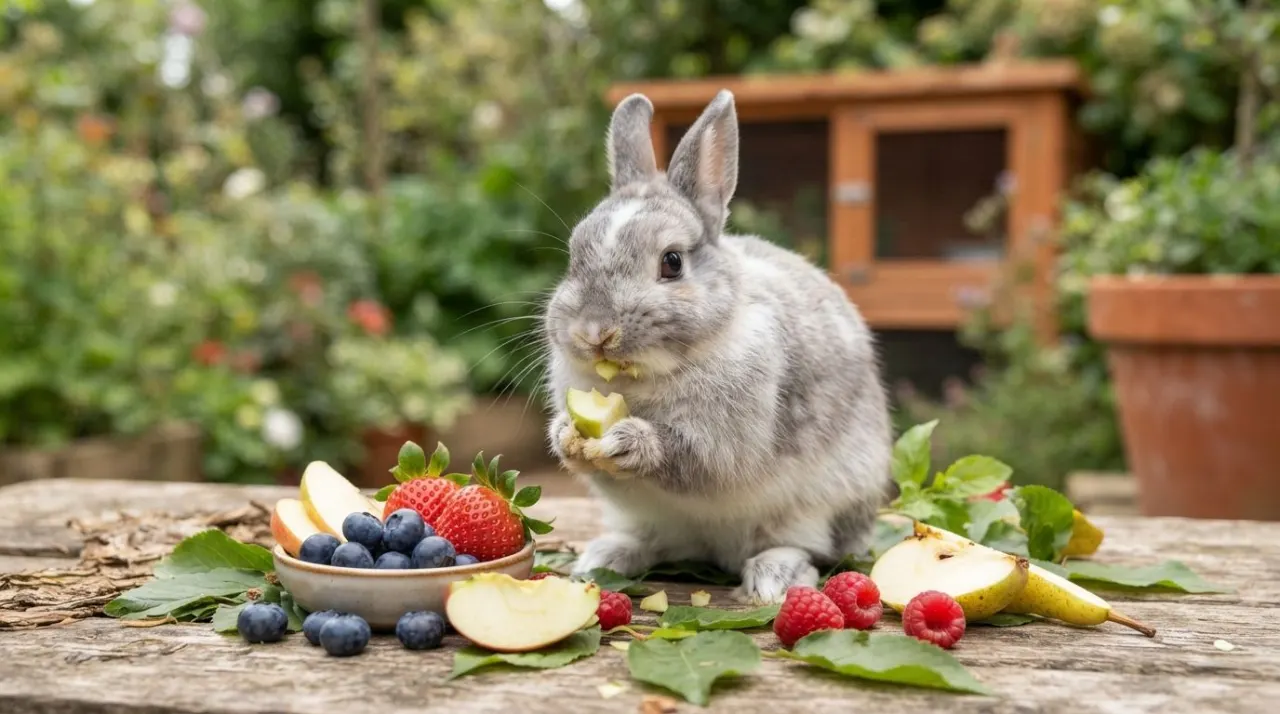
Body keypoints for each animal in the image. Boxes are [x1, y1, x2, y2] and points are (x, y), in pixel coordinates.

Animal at [541, 89, 893, 605]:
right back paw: (604, 558)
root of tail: (716, 550)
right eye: (573, 256)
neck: (646, 376)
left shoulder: (726, 441)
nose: (594, 332)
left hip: (822, 504)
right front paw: (565, 434)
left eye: (671, 262)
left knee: (806, 549)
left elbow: (692, 457)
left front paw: (629, 441)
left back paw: (772, 578)